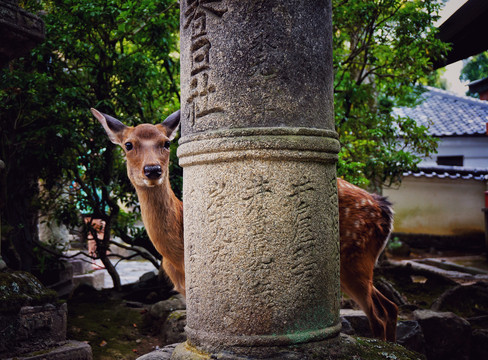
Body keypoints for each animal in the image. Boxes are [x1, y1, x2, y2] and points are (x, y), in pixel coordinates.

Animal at [90, 108, 396, 342]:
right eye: (128, 144)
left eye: (166, 143)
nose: (152, 170)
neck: (176, 255)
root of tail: (385, 209)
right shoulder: (185, 289)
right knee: (389, 306)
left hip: (355, 257)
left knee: (379, 313)